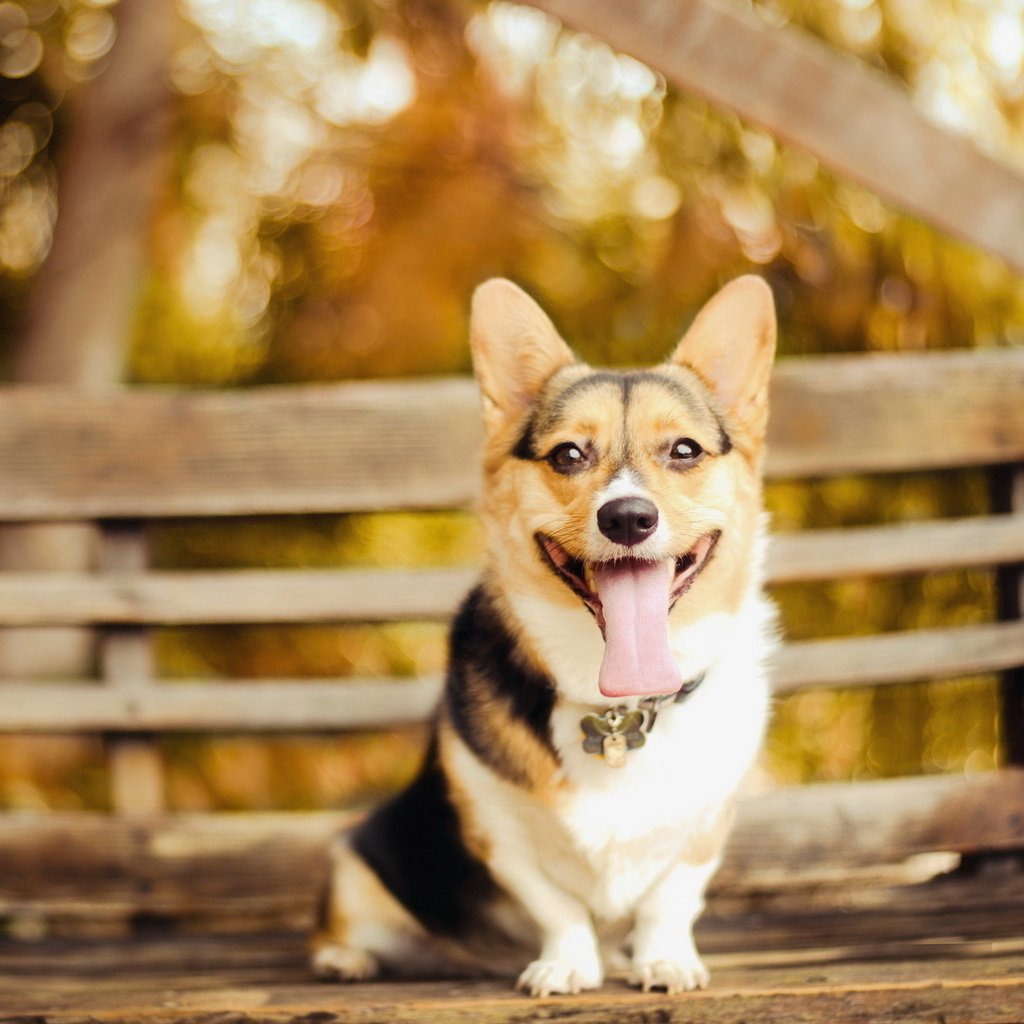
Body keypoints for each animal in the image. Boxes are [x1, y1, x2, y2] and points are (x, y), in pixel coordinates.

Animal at [311, 276, 774, 995]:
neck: (618, 710)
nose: (628, 517)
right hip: (357, 859)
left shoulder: (705, 827)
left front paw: (663, 959)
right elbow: (557, 905)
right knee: (345, 925)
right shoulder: (497, 828)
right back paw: (345, 959)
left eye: (685, 451)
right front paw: (566, 965)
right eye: (568, 454)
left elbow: (671, 898)